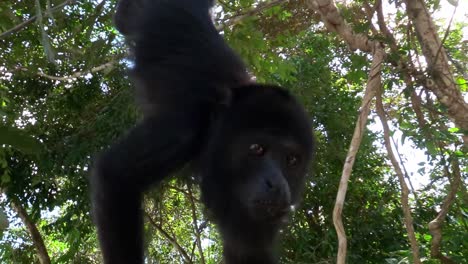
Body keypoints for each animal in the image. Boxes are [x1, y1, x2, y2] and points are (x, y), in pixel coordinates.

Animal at [90, 0, 314, 264]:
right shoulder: (182, 130)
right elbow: (114, 174)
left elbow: (247, 249)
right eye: (256, 149)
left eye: (292, 160)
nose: (277, 185)